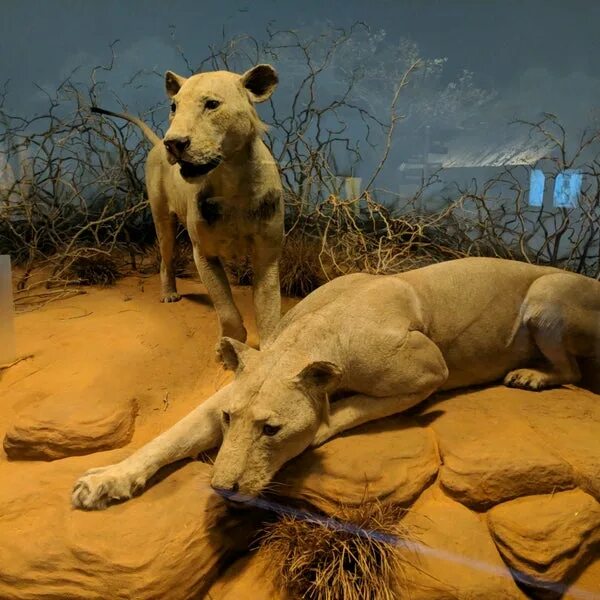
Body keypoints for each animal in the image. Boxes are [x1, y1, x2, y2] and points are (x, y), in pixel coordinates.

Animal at [71, 258, 600, 510]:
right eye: (228, 419)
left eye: (271, 430)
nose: (223, 489)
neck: (310, 337)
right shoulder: (227, 393)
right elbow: (170, 437)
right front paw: (105, 480)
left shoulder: (430, 371)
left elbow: (346, 411)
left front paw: (319, 427)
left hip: (546, 297)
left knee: (574, 373)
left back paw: (531, 375)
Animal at [92, 64, 284, 346]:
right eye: (174, 106)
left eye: (212, 104)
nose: (173, 143)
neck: (232, 180)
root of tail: (155, 145)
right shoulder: (203, 252)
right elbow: (226, 309)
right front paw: (230, 343)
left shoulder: (267, 252)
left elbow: (269, 309)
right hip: (162, 220)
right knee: (166, 258)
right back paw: (169, 293)